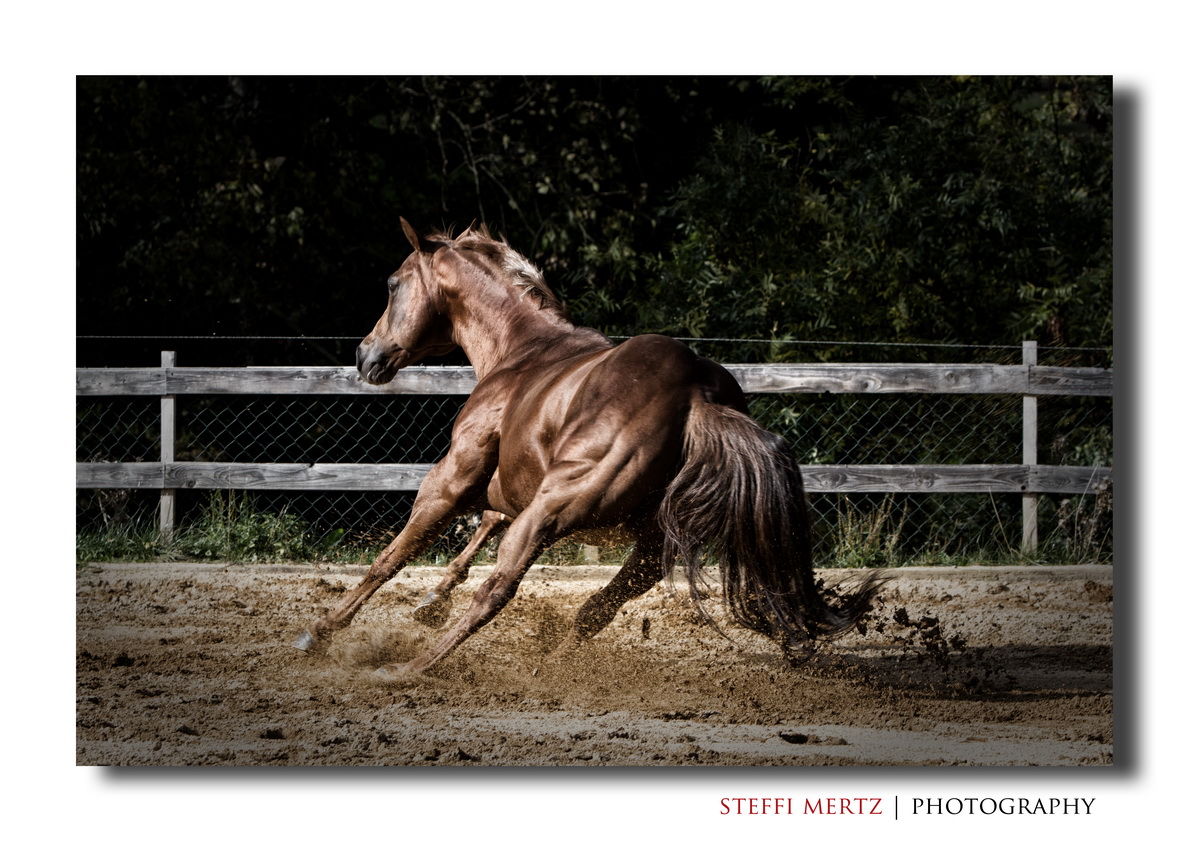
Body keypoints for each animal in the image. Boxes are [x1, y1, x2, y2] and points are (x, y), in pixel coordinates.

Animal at [292, 222, 879, 674]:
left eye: (393, 285)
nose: (365, 355)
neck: (521, 350)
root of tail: (695, 394)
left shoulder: (452, 479)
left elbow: (390, 558)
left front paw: (320, 631)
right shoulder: (511, 486)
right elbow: (482, 525)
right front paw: (432, 599)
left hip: (554, 513)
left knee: (497, 591)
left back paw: (410, 669)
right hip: (653, 543)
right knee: (595, 609)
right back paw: (549, 667)